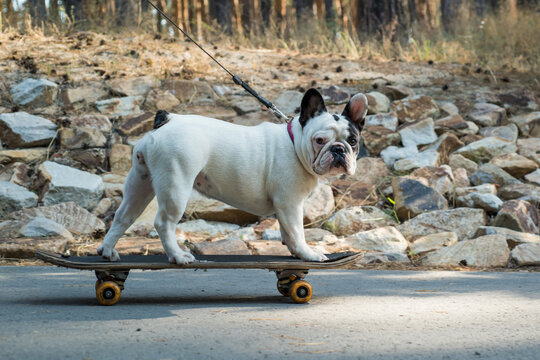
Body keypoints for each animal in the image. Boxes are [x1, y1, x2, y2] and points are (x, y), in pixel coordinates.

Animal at [98, 88, 368, 262]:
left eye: (353, 141)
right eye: (319, 140)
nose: (338, 149)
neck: (295, 143)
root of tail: (168, 119)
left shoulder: (284, 207)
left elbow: (288, 233)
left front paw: (294, 252)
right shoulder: (290, 203)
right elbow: (297, 231)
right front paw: (308, 254)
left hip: (140, 181)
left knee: (123, 216)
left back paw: (107, 251)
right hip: (176, 184)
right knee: (164, 222)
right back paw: (178, 256)